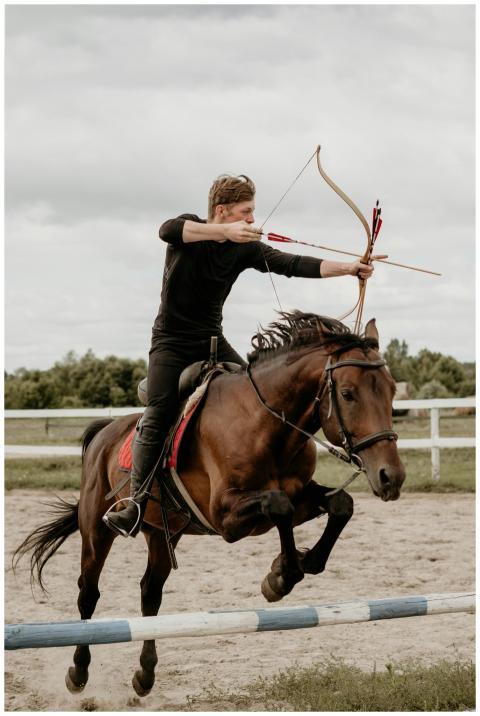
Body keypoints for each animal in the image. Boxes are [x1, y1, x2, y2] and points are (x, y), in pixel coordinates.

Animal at [14, 311, 405, 697]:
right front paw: (281, 575)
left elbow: (340, 504)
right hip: (97, 529)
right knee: (88, 593)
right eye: (348, 394)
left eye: (391, 390)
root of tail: (104, 432)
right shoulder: (226, 518)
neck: (266, 424)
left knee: (150, 593)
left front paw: (296, 564)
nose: (391, 477)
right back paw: (78, 672)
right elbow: (279, 505)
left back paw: (145, 675)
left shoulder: (298, 496)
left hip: (162, 532)